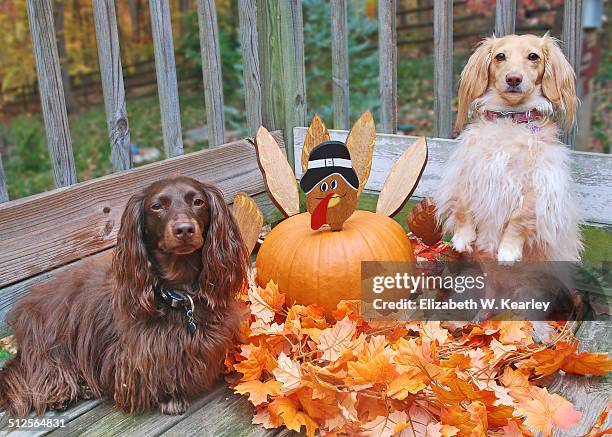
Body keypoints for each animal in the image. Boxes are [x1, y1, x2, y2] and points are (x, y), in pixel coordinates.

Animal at [0, 175, 249, 414]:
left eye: (198, 202)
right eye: (156, 206)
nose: (184, 229)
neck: (179, 293)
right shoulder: (142, 352)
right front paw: (171, 399)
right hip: (51, 339)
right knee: (41, 369)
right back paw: (60, 393)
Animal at [436, 34, 584, 262]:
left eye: (533, 56)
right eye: (500, 56)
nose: (513, 78)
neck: (509, 117)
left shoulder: (537, 186)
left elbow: (519, 220)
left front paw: (508, 250)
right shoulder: (466, 170)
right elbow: (462, 205)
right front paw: (463, 238)